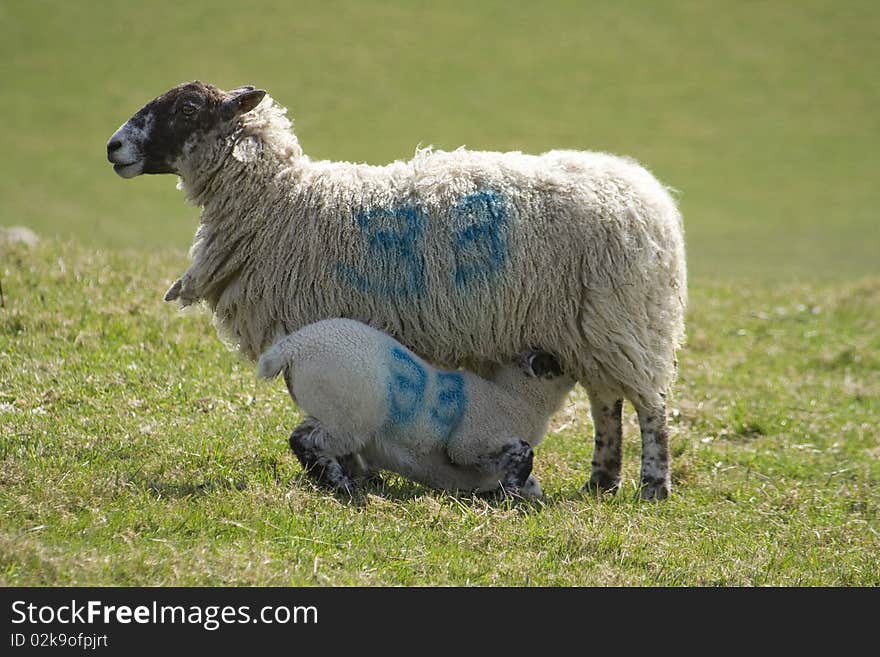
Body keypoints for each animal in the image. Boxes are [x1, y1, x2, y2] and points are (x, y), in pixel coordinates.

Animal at [256, 316, 572, 494]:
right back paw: (341, 485)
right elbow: (523, 452)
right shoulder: (469, 443)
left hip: (329, 411)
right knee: (305, 441)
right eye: (555, 365)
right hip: (350, 417)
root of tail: (293, 346)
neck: (516, 398)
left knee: (305, 436)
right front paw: (512, 489)